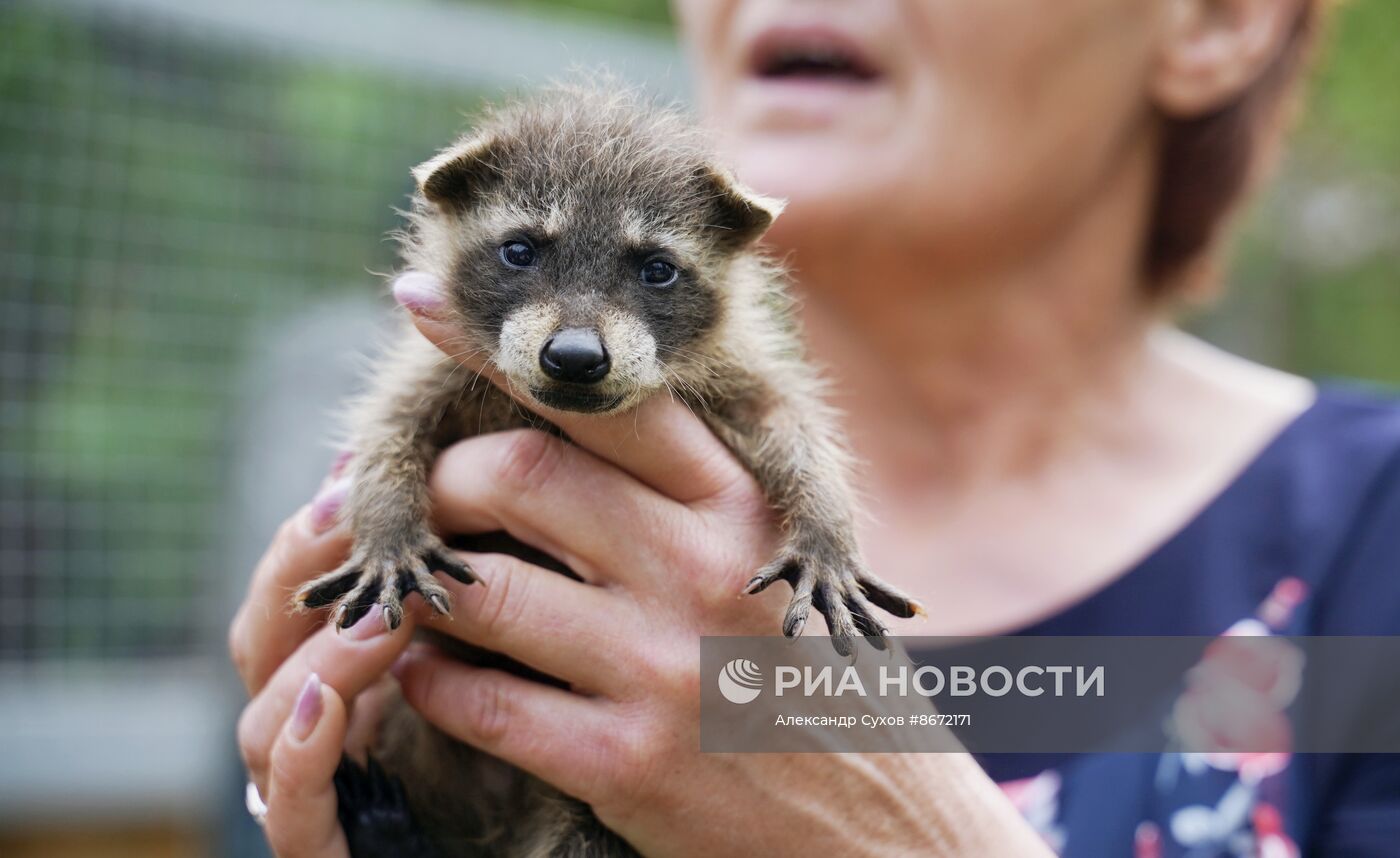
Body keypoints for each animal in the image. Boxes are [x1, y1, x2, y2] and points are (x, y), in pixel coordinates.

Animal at [291, 81, 924, 856]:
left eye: (656, 268)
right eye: (520, 251)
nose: (573, 357)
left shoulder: (741, 373)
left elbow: (799, 432)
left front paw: (825, 530)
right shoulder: (436, 371)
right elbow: (386, 431)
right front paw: (387, 529)